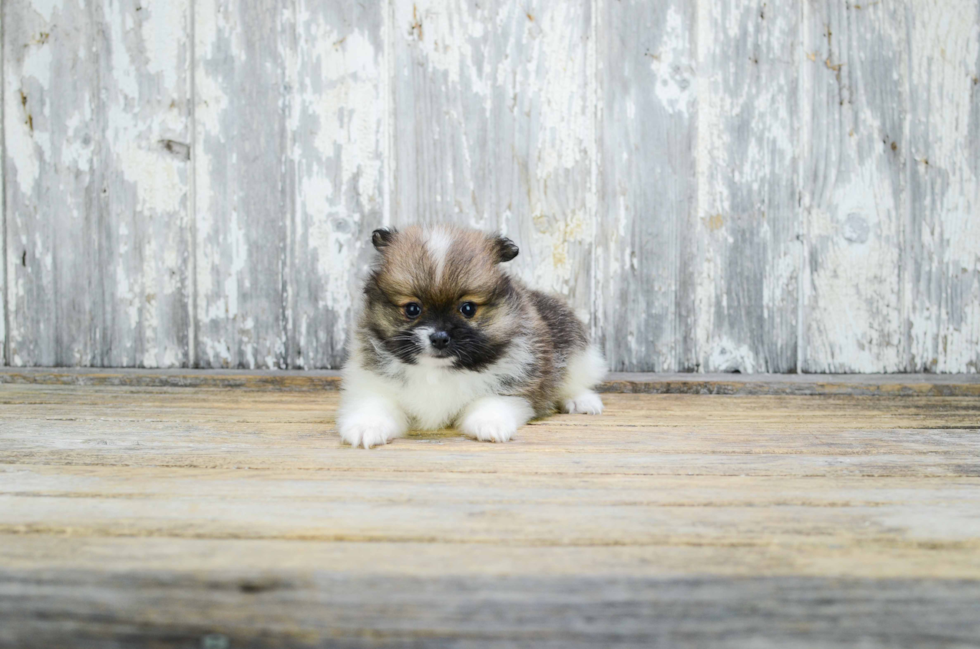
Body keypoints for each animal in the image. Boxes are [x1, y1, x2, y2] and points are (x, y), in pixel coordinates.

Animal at [340, 225, 608, 448]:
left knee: (574, 380)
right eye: (412, 309)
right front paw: (366, 428)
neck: (437, 371)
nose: (439, 338)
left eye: (467, 308)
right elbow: (374, 405)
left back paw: (582, 401)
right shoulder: (373, 385)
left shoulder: (513, 385)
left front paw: (491, 424)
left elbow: (490, 403)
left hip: (574, 348)